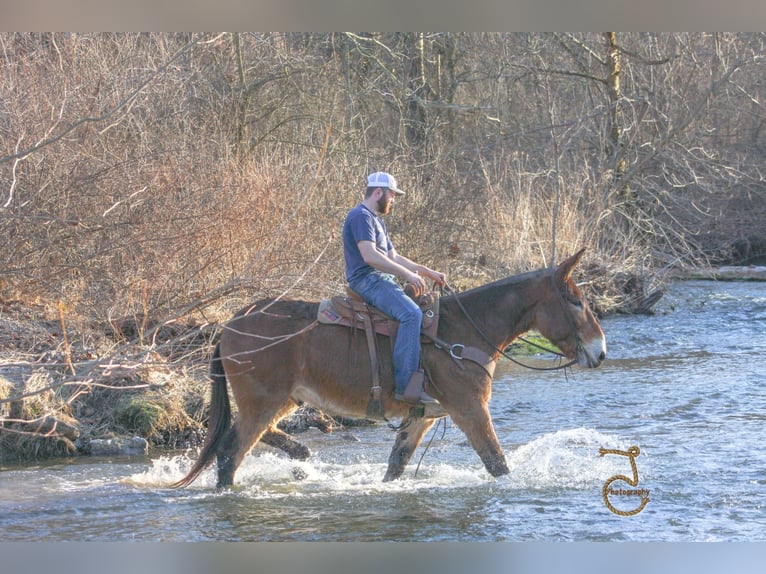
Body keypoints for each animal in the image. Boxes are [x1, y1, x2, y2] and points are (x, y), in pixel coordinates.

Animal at [172, 249, 608, 490]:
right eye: (573, 300)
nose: (600, 352)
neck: (463, 332)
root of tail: (230, 324)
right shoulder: (470, 409)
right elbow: (496, 463)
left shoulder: (424, 417)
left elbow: (396, 466)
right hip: (262, 401)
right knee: (230, 453)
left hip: (282, 400)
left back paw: (301, 456)